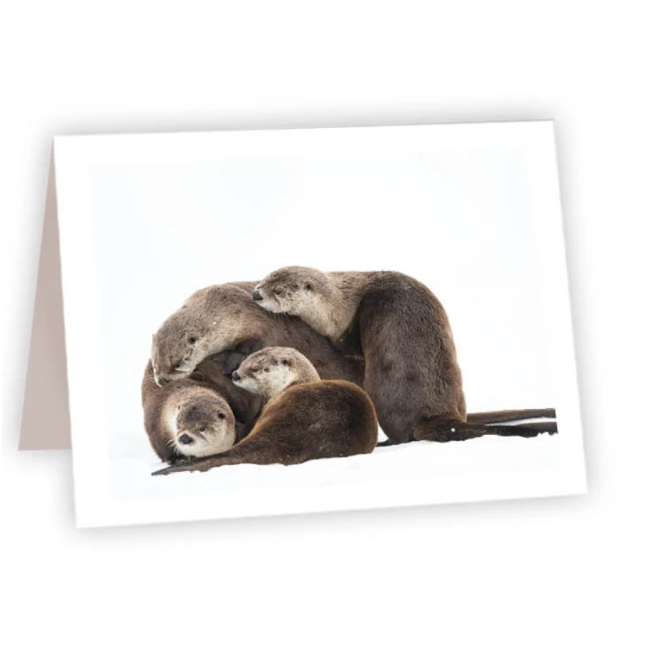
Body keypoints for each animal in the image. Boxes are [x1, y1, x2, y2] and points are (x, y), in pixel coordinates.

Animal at [151, 282, 364, 389]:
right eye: (154, 364)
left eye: (176, 363)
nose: (162, 381)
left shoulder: (254, 322)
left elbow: (253, 344)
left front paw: (231, 363)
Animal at [252, 267, 557, 444]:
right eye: (264, 279)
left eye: (279, 290)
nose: (256, 294)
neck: (337, 305)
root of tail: (439, 416)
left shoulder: (343, 330)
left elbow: (345, 346)